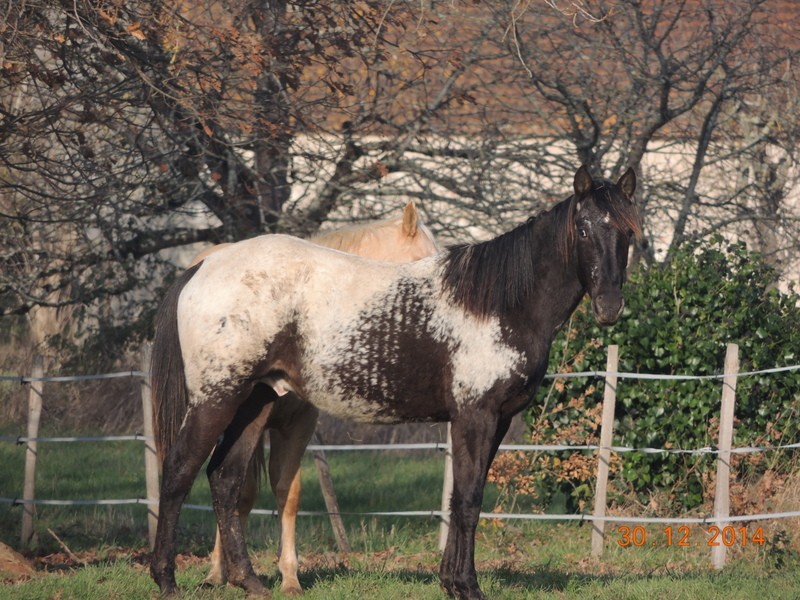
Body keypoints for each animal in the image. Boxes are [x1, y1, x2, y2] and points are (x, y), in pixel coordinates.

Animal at [148, 165, 636, 600]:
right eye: (584, 230)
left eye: (628, 234)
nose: (610, 306)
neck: (500, 304)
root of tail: (204, 266)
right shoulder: (475, 418)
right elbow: (469, 499)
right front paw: (467, 587)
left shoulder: (494, 422)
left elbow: (461, 498)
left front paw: (451, 582)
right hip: (216, 399)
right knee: (179, 472)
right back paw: (167, 580)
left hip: (257, 401)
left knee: (226, 479)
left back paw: (249, 581)